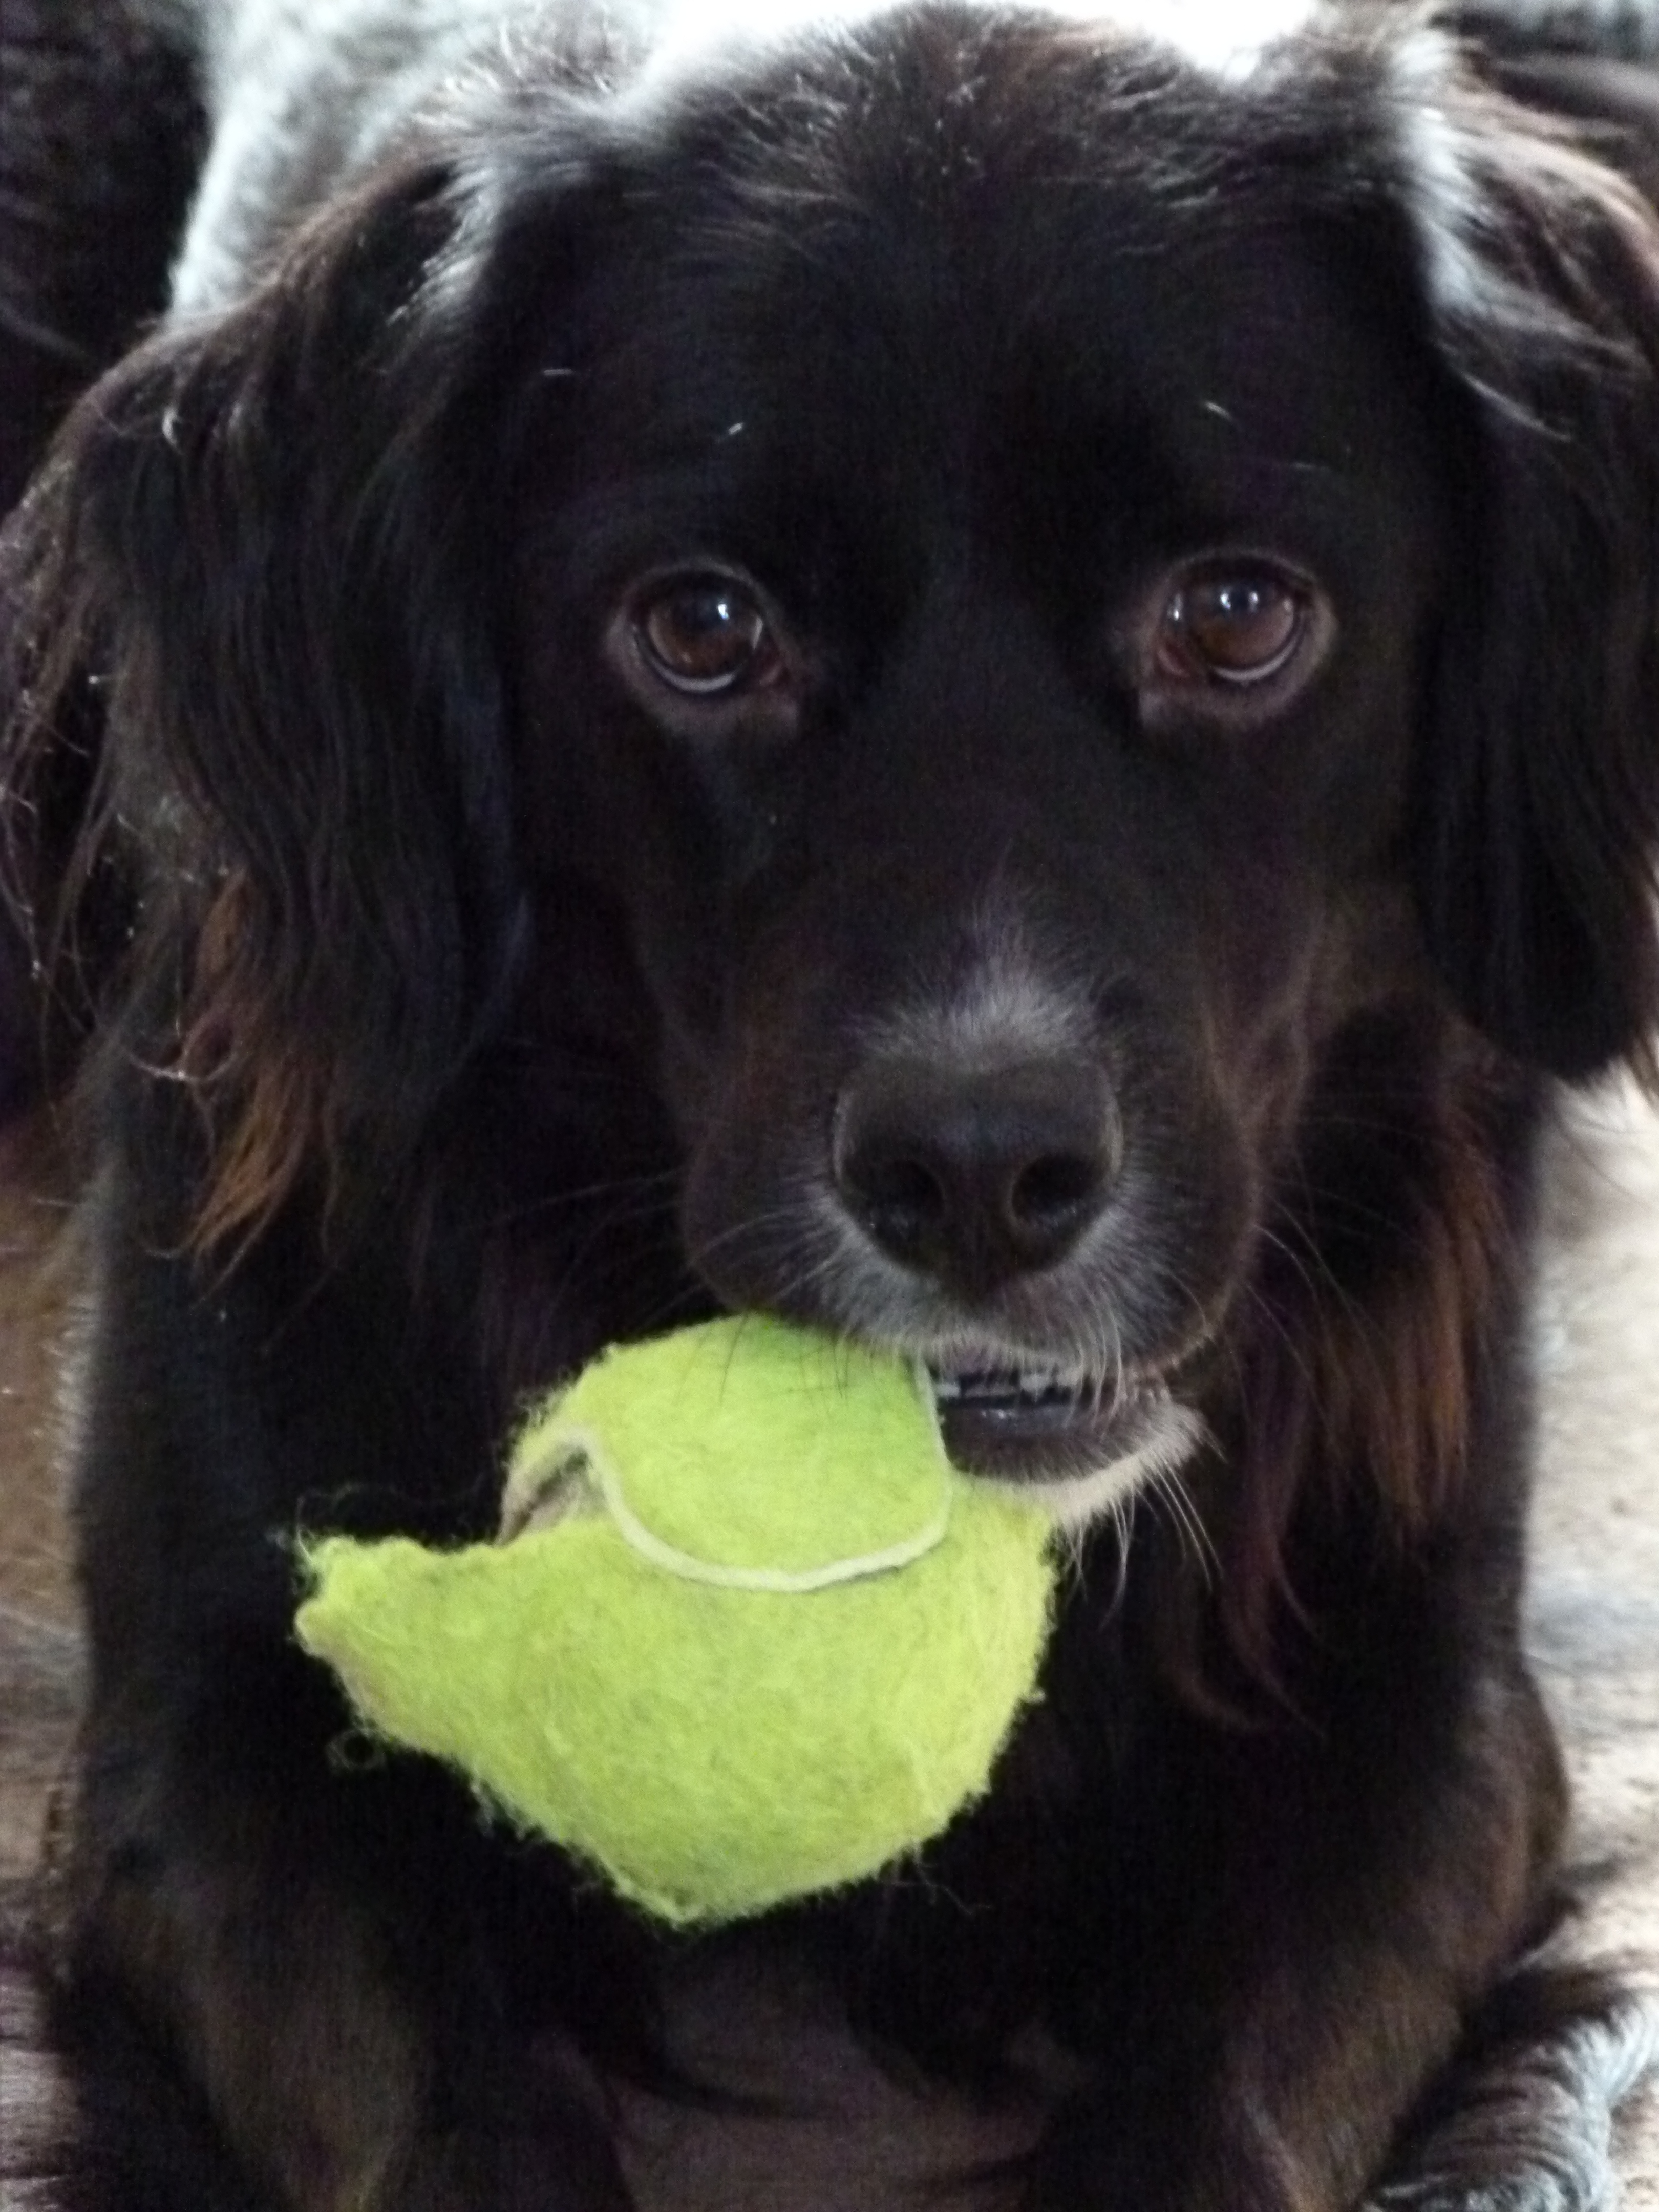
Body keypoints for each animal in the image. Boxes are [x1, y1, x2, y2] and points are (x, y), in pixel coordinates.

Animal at [5, 0, 1659, 2204]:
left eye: (1237, 614)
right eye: (703, 629)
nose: (979, 1177)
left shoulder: (1418, 1689)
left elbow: (1227, 2083)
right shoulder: (210, 1717)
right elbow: (446, 2093)